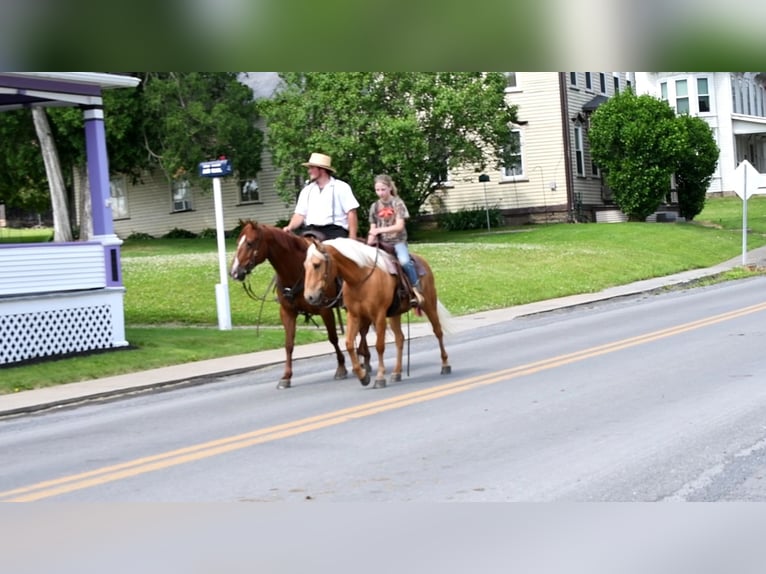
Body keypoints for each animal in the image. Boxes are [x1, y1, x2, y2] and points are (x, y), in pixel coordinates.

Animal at [230, 220, 370, 392]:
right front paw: (286, 377)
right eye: (238, 242)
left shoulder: (325, 310)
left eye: (250, 243)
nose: (234, 272)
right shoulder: (287, 312)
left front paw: (341, 367)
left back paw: (365, 360)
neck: (297, 269)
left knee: (363, 330)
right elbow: (289, 344)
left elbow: (333, 338)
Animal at [304, 236, 452, 390]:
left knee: (438, 331)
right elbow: (349, 344)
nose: (309, 297)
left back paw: (445, 365)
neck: (360, 279)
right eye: (304, 266)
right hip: (395, 314)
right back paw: (396, 373)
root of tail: (421, 260)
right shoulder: (354, 316)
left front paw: (380, 377)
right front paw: (363, 376)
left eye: (316, 265)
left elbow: (379, 346)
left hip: (429, 304)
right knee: (400, 339)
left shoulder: (379, 316)